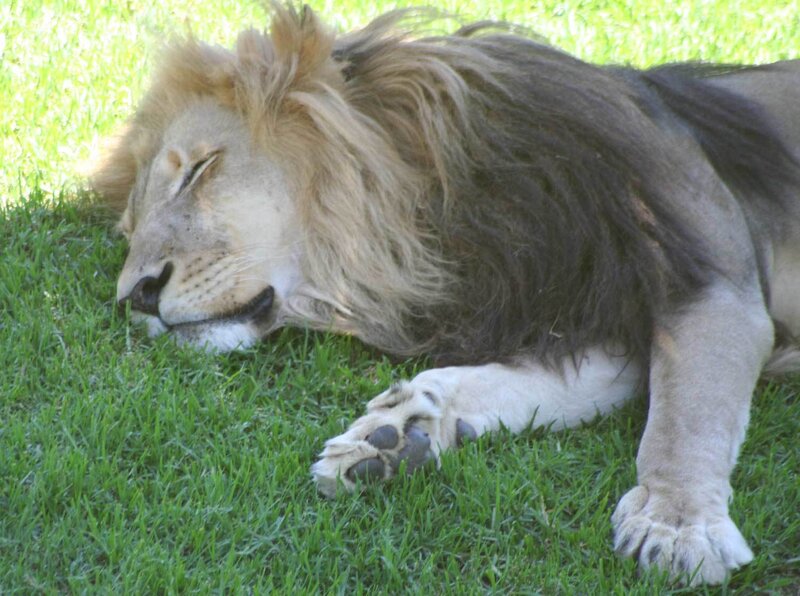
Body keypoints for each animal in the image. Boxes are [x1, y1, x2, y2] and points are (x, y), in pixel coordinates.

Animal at [92, 5, 800, 586]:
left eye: (199, 170)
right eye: (129, 231)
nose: (137, 296)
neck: (436, 225)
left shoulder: (709, 272)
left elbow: (686, 415)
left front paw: (675, 524)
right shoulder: (579, 315)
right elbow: (522, 383)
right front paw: (400, 434)